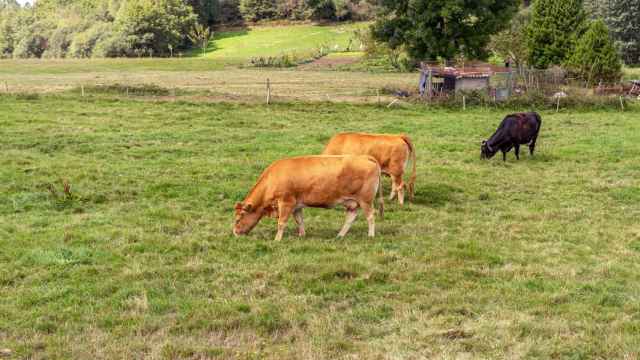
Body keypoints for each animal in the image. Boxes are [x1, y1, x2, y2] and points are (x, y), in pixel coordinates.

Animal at [235, 155, 384, 242]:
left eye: (239, 218)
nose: (235, 232)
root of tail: (366, 157)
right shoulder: (296, 205)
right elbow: (299, 220)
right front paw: (302, 235)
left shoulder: (286, 202)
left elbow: (281, 222)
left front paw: (277, 239)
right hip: (352, 203)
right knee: (350, 218)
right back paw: (340, 235)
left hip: (365, 200)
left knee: (370, 216)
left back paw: (371, 235)